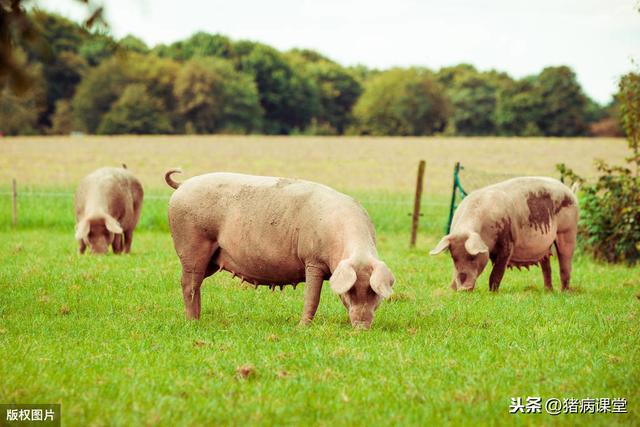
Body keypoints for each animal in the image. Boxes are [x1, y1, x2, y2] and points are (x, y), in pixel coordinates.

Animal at [165, 169, 396, 330]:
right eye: (350, 291)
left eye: (374, 292)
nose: (362, 328)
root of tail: (183, 184)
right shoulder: (312, 260)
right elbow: (312, 296)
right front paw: (301, 328)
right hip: (192, 243)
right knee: (188, 283)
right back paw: (193, 322)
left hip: (212, 259)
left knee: (194, 282)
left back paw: (197, 318)